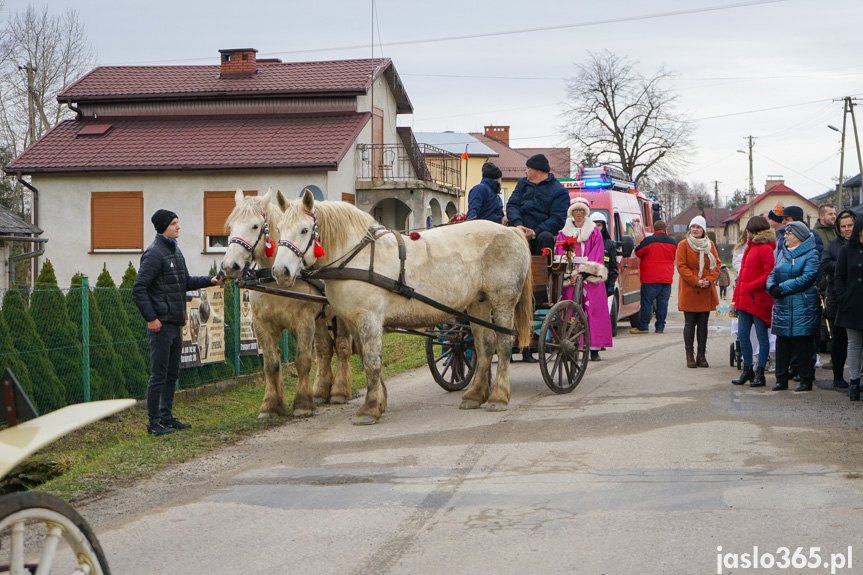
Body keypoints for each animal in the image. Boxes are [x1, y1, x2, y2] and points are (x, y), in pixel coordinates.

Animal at [219, 189, 354, 418]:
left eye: (255, 226)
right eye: (231, 225)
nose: (230, 266)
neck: (274, 282)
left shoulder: (304, 321)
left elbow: (302, 360)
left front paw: (302, 404)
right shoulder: (263, 323)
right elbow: (271, 364)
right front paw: (271, 405)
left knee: (343, 346)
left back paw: (339, 391)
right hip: (320, 319)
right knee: (324, 348)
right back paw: (320, 391)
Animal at [272, 191, 532, 426]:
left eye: (305, 230)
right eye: (278, 229)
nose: (280, 272)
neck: (358, 256)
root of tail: (513, 231)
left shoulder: (369, 318)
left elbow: (372, 361)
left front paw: (370, 408)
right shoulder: (354, 321)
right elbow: (368, 360)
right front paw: (379, 401)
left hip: (502, 301)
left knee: (504, 344)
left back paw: (498, 397)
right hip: (479, 303)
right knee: (485, 346)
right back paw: (476, 395)